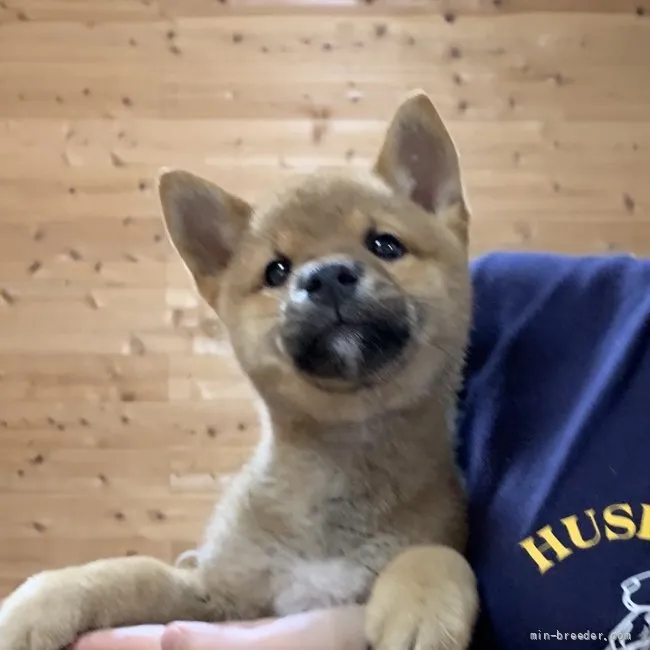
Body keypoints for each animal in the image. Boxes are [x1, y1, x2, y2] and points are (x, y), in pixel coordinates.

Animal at [0, 91, 476, 648]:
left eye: (385, 244)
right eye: (276, 270)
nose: (325, 277)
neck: (342, 460)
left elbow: (434, 554)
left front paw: (423, 606)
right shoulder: (219, 593)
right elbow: (134, 571)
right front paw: (40, 604)